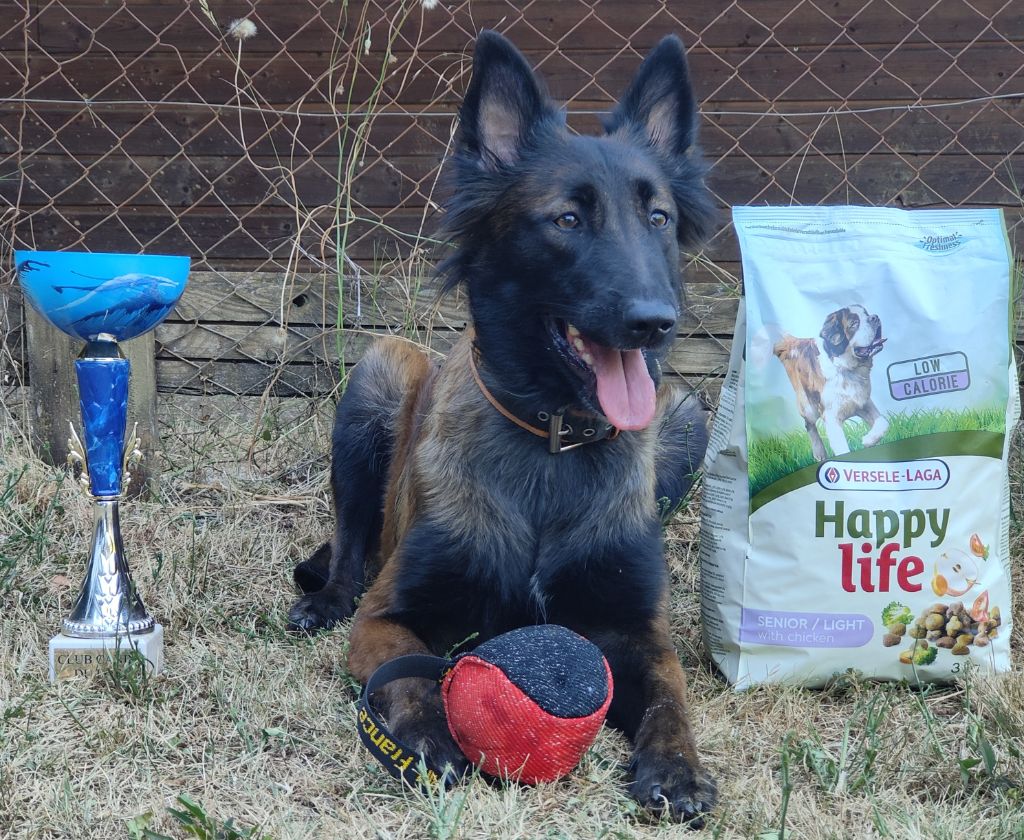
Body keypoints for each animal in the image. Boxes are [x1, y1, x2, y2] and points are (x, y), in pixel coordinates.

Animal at [288, 31, 716, 819]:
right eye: (567, 219)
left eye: (659, 218)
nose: (654, 321)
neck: (553, 444)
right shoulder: (387, 617)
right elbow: (407, 672)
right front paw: (429, 739)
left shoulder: (639, 631)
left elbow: (671, 700)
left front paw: (675, 768)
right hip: (379, 372)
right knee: (351, 544)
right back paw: (325, 597)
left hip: (685, 413)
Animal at [770, 303, 884, 456]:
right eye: (854, 324)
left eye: (866, 314)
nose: (874, 317)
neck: (845, 368)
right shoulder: (831, 417)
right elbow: (842, 449)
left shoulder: (863, 402)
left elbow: (883, 422)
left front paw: (868, 440)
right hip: (809, 406)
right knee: (809, 424)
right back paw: (819, 452)